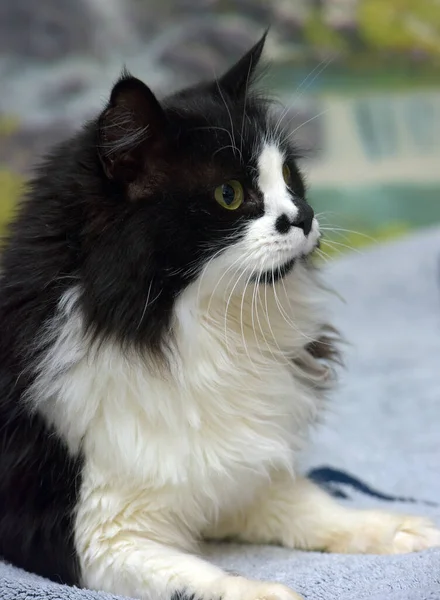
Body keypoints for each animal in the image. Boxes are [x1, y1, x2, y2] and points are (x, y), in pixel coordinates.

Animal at [0, 31, 438, 600]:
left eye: (289, 175)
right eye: (229, 195)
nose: (304, 216)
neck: (203, 329)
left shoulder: (239, 475)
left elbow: (316, 506)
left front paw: (396, 527)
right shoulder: (87, 534)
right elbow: (201, 579)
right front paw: (270, 593)